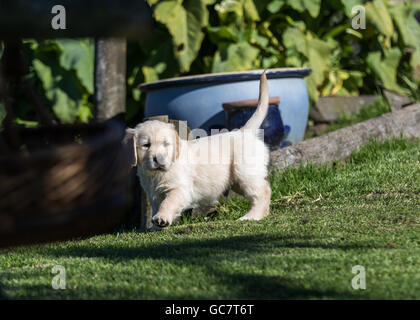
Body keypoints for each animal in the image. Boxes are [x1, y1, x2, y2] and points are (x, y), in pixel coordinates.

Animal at [126, 71, 270, 229]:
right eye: (146, 145)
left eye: (166, 144)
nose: (159, 159)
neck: (157, 174)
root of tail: (244, 131)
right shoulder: (154, 193)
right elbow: (157, 206)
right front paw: (155, 227)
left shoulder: (179, 189)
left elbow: (168, 203)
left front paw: (161, 218)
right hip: (236, 181)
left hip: (245, 173)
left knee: (262, 192)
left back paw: (251, 217)